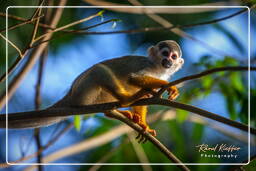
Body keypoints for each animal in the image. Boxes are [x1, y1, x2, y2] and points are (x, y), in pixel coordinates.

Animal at [4, 39, 184, 136]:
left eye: (174, 56)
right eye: (165, 53)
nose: (168, 61)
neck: (158, 69)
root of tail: (70, 94)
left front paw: (144, 126)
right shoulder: (145, 65)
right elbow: (134, 78)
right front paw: (167, 86)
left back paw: (114, 112)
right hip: (83, 91)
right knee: (99, 70)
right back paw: (126, 100)